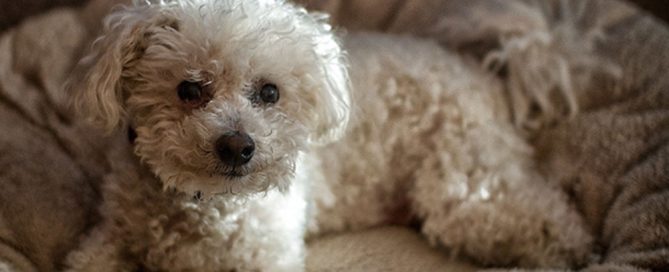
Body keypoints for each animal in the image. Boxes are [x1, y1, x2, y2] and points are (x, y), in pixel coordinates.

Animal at [66, 0, 588, 270]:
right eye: (189, 90)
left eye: (269, 92)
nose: (238, 146)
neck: (204, 205)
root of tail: (485, 74)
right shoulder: (108, 239)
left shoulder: (265, 257)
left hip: (463, 187)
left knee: (548, 217)